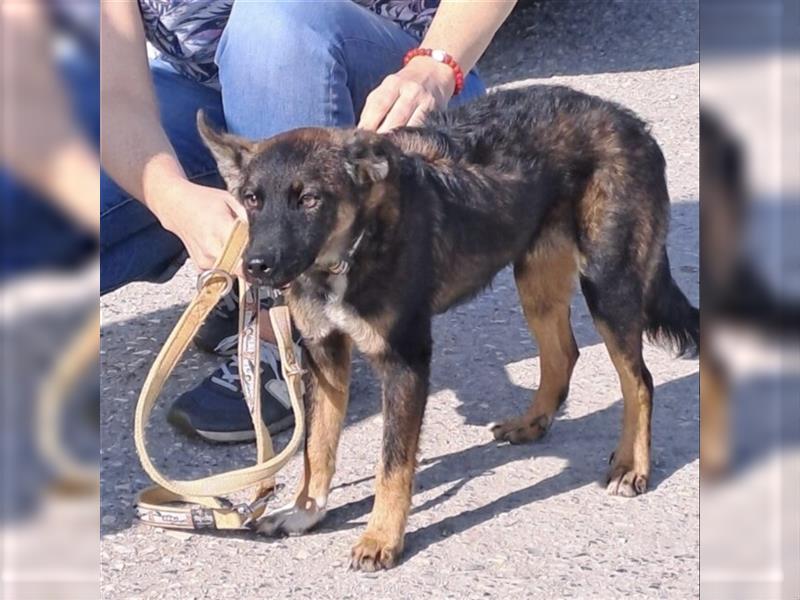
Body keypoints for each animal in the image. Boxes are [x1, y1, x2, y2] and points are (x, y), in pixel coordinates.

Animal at [197, 85, 696, 572]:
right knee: (563, 354)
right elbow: (317, 447)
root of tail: (630, 122)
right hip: (535, 280)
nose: (255, 266)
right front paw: (307, 511)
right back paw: (532, 423)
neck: (352, 249)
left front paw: (382, 538)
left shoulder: (406, 361)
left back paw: (632, 466)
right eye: (252, 199)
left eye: (309, 199)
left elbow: (393, 465)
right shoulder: (325, 354)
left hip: (607, 285)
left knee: (640, 381)